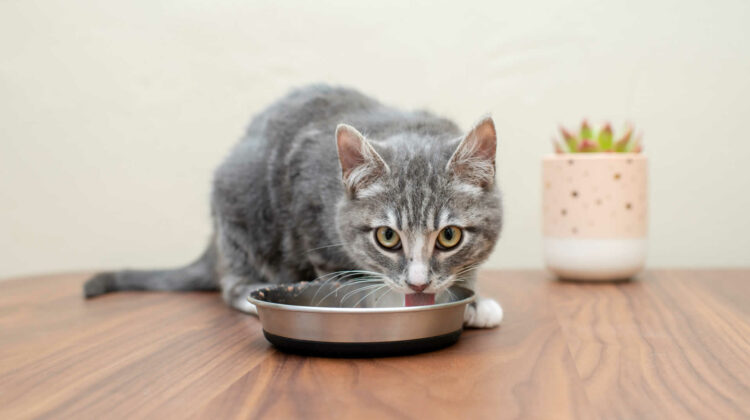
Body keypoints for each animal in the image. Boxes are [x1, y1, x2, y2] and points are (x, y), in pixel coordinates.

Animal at [83, 84, 506, 328]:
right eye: (387, 236)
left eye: (449, 236)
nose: (418, 283)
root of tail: (214, 241)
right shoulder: (309, 207)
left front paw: (471, 301)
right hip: (242, 205)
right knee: (231, 283)